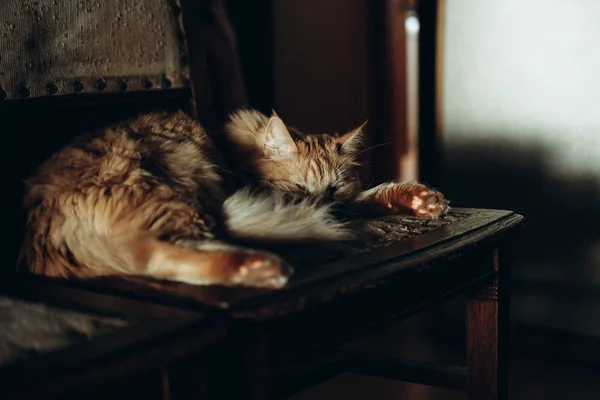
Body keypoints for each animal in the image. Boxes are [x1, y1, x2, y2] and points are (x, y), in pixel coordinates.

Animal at [19, 111, 450, 290]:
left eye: (332, 189)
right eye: (298, 189)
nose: (322, 208)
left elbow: (367, 197)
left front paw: (419, 201)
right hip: (175, 190)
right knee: (166, 254)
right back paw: (262, 268)